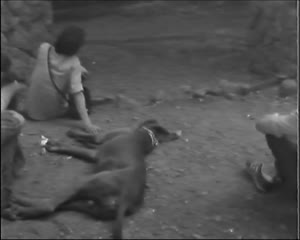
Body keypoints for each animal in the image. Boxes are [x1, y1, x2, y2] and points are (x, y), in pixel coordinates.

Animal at [3, 119, 179, 238]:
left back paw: (16, 204)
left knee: (50, 205)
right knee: (59, 204)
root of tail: (126, 200)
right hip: (89, 204)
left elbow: (79, 142)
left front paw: (65, 138)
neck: (145, 137)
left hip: (85, 182)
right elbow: (85, 139)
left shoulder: (97, 147)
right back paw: (13, 206)